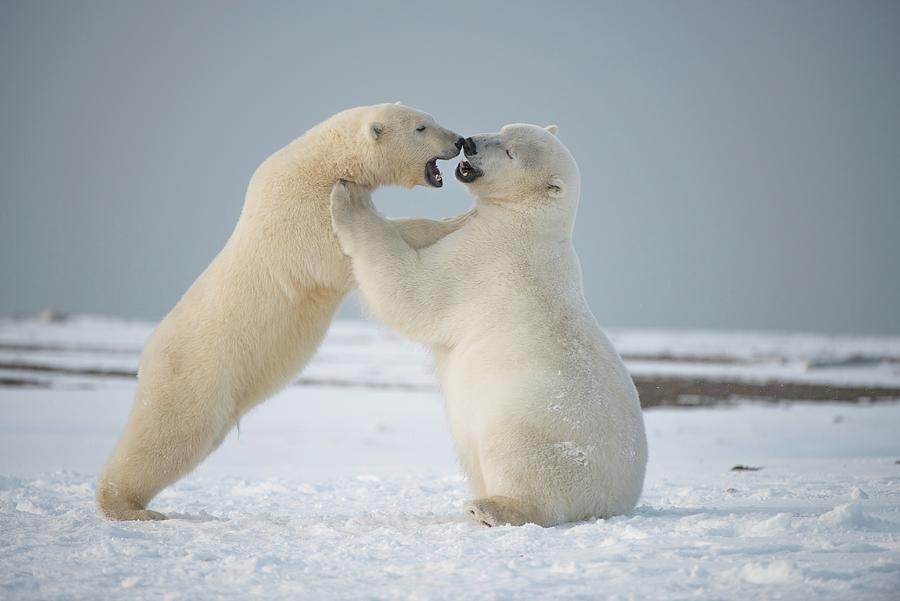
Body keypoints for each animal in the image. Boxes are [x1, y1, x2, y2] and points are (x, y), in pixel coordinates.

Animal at [96, 103, 468, 520]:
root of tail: (146, 356)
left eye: (431, 120)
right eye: (422, 127)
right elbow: (359, 245)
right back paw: (128, 506)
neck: (320, 166)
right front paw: (455, 221)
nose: (458, 141)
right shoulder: (304, 218)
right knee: (171, 435)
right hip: (195, 374)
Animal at [330, 123, 648, 524]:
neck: (527, 220)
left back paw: (488, 507)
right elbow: (431, 231)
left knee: (520, 462)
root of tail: (614, 502)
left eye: (510, 152)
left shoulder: (486, 256)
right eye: (503, 128)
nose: (469, 143)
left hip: (537, 429)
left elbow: (415, 293)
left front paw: (349, 198)